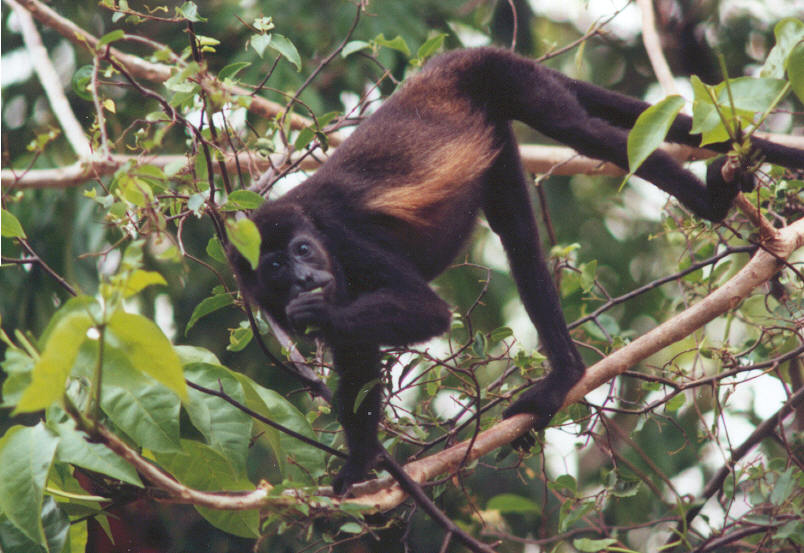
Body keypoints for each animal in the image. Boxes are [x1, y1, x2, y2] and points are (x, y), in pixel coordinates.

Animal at [230, 47, 804, 494]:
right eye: (276, 265)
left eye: (305, 250)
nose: (306, 279)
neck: (315, 229)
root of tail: (458, 57)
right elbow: (359, 365)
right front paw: (360, 463)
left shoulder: (345, 239)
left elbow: (428, 312)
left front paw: (320, 313)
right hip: (496, 136)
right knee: (520, 242)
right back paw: (565, 375)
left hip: (507, 81)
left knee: (585, 134)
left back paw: (711, 202)